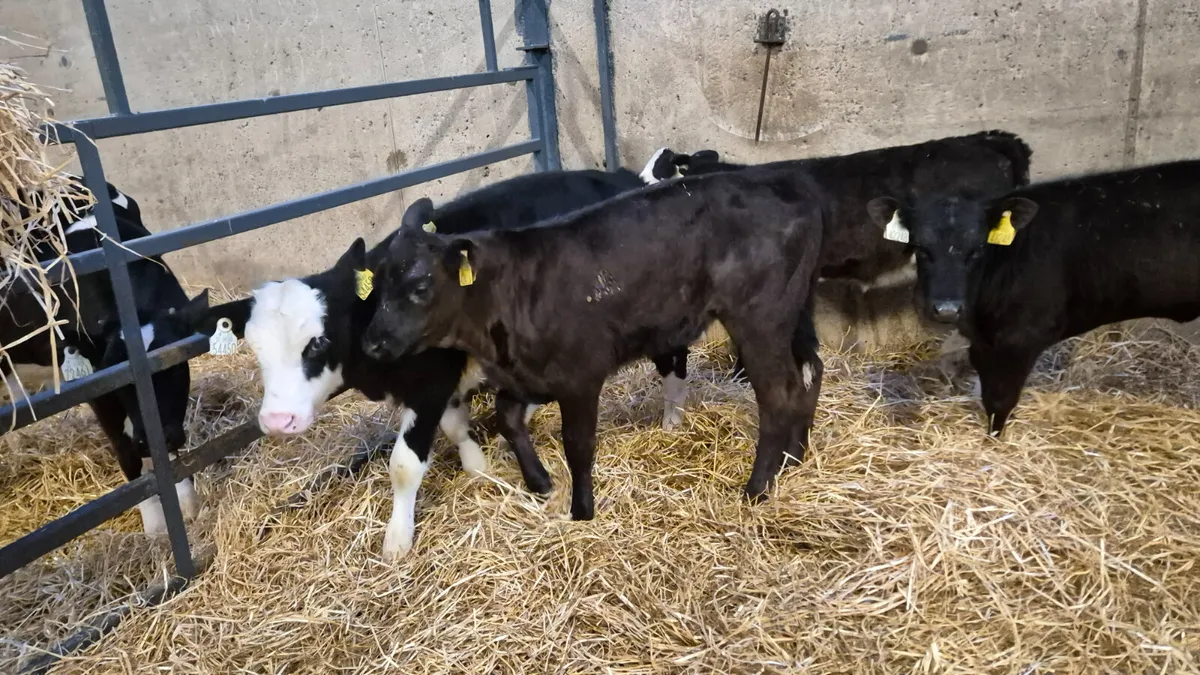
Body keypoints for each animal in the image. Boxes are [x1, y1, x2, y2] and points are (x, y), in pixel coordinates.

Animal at [2, 180, 205, 533]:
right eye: (119, 383)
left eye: (176, 368)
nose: (152, 439)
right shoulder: (98, 388)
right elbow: (127, 453)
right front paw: (155, 527)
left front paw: (186, 500)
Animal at [187, 168, 648, 559]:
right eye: (256, 347)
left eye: (318, 342)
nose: (277, 421)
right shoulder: (440, 383)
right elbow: (455, 426)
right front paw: (477, 466)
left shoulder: (429, 383)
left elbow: (405, 465)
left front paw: (398, 538)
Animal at [360, 163, 828, 523]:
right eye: (375, 286)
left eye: (420, 286)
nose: (373, 345)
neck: (508, 292)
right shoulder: (527, 375)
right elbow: (508, 418)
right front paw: (539, 482)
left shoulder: (580, 376)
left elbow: (578, 445)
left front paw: (582, 511)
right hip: (790, 315)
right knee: (809, 373)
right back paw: (794, 458)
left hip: (759, 318)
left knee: (779, 393)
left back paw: (757, 487)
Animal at [902, 159, 1200, 436]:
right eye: (920, 248)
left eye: (977, 249)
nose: (946, 309)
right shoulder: (983, 344)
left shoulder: (1021, 339)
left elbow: (1000, 400)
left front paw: (994, 440)